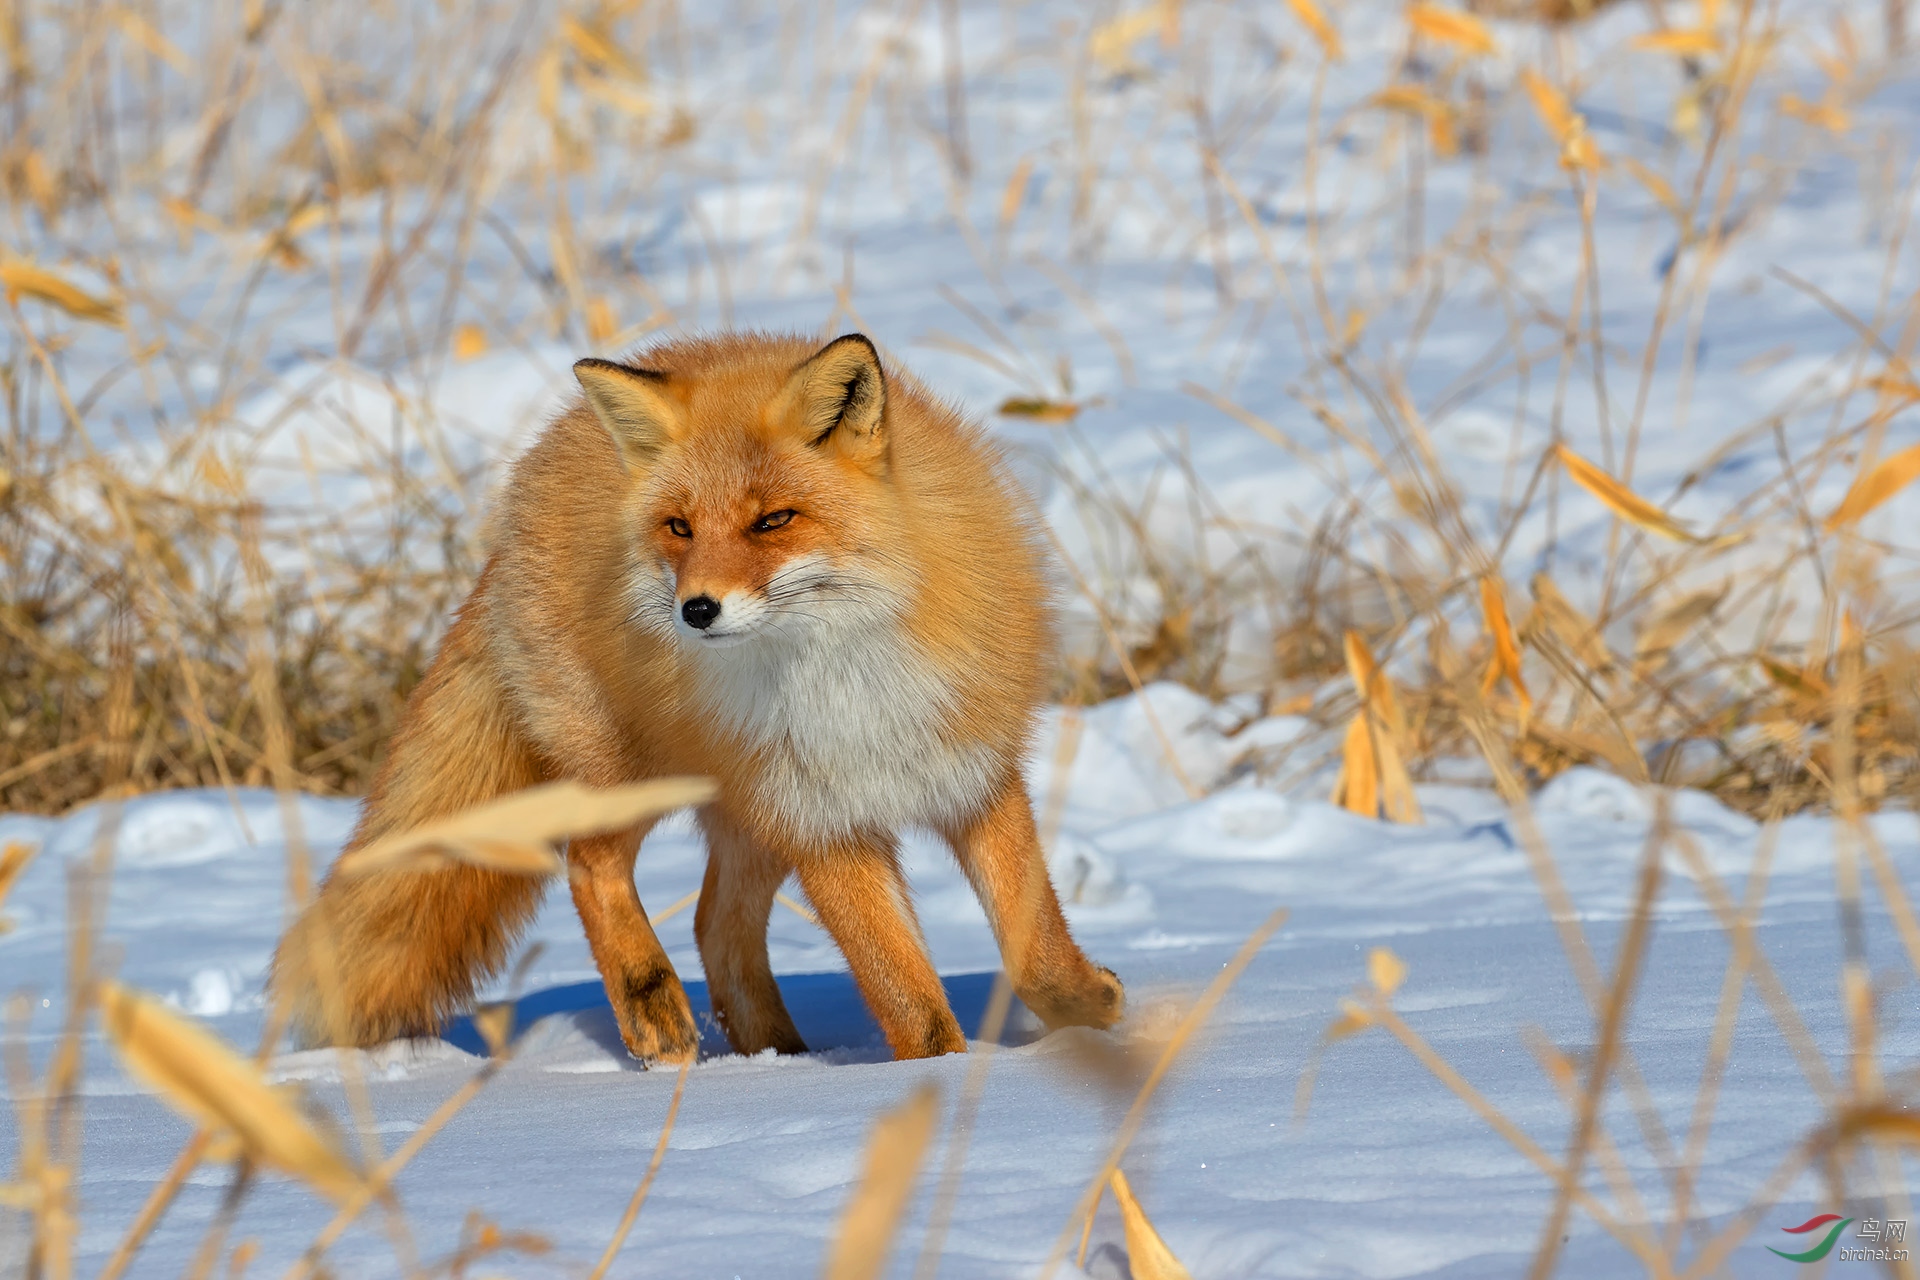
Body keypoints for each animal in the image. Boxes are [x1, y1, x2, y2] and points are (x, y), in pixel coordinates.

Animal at [278, 330, 1128, 1059]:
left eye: (774, 520)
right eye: (681, 528)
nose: (696, 610)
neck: (846, 675)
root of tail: (524, 491)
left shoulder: (973, 775)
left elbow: (1036, 945)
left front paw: (1086, 1009)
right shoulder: (821, 818)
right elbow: (907, 997)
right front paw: (938, 1080)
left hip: (745, 815)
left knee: (712, 922)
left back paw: (776, 1055)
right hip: (638, 775)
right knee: (589, 865)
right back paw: (653, 1010)